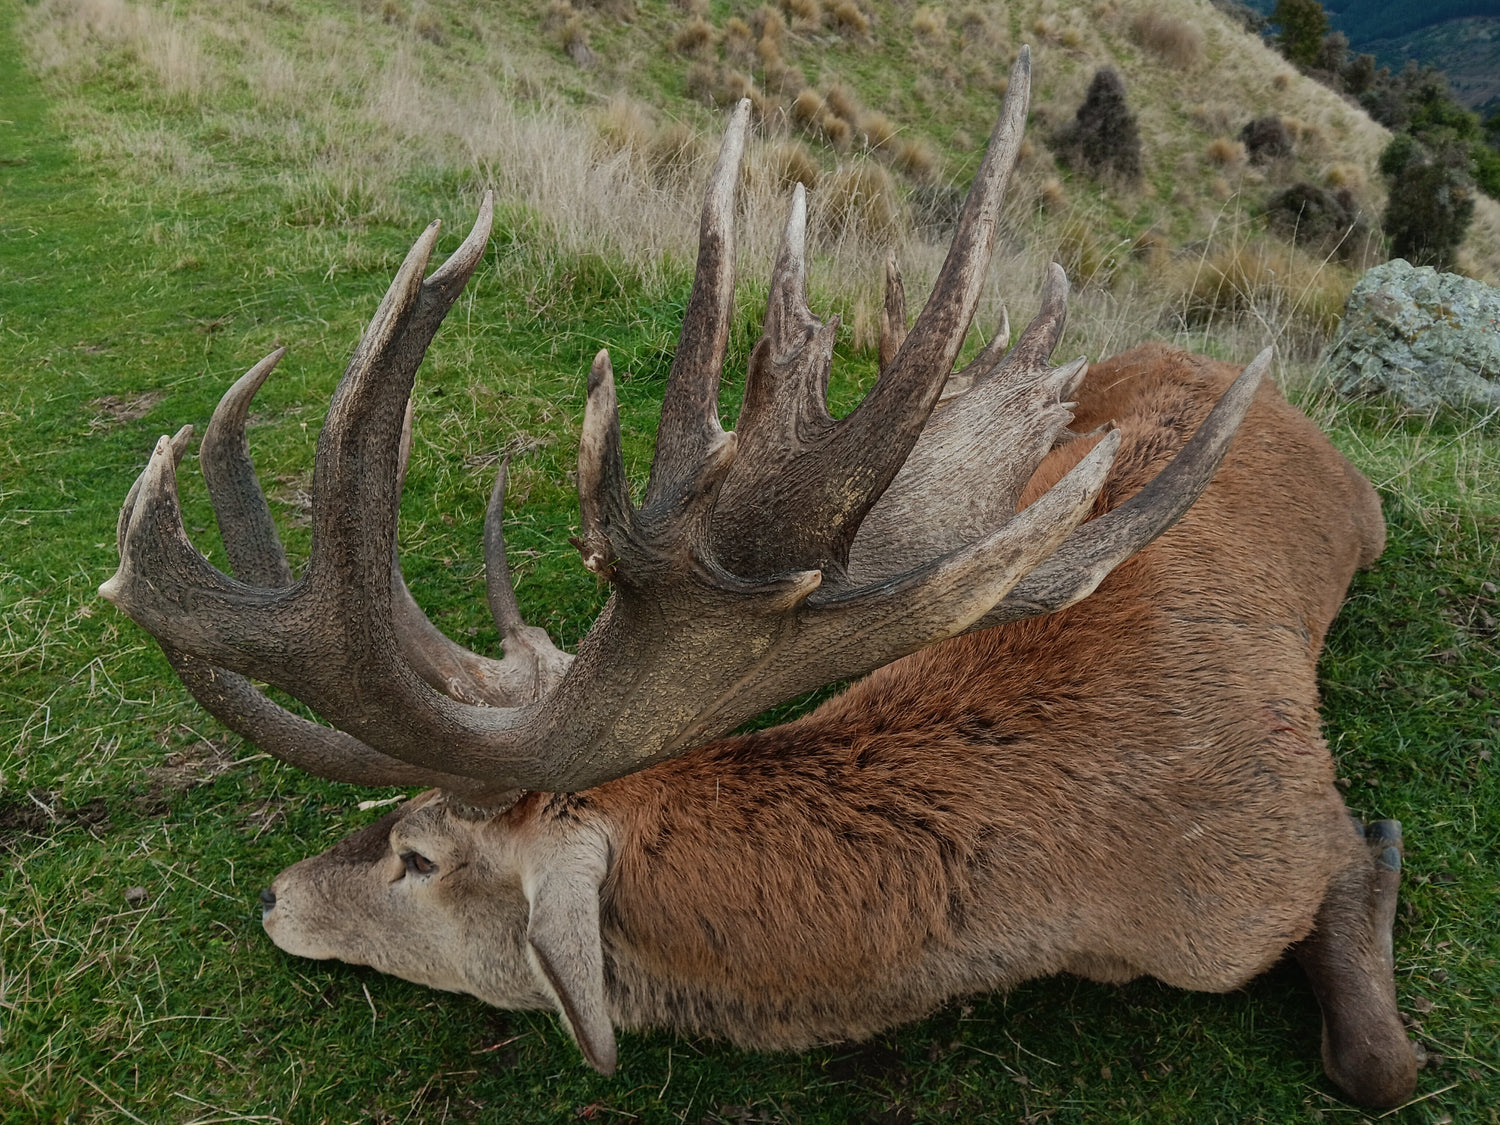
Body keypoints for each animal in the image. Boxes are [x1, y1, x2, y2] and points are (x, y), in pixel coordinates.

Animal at [99, 50, 1419, 1109]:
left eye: (418, 857)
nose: (276, 897)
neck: (1076, 879)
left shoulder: (1274, 854)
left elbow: (1381, 1057)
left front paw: (1387, 860)